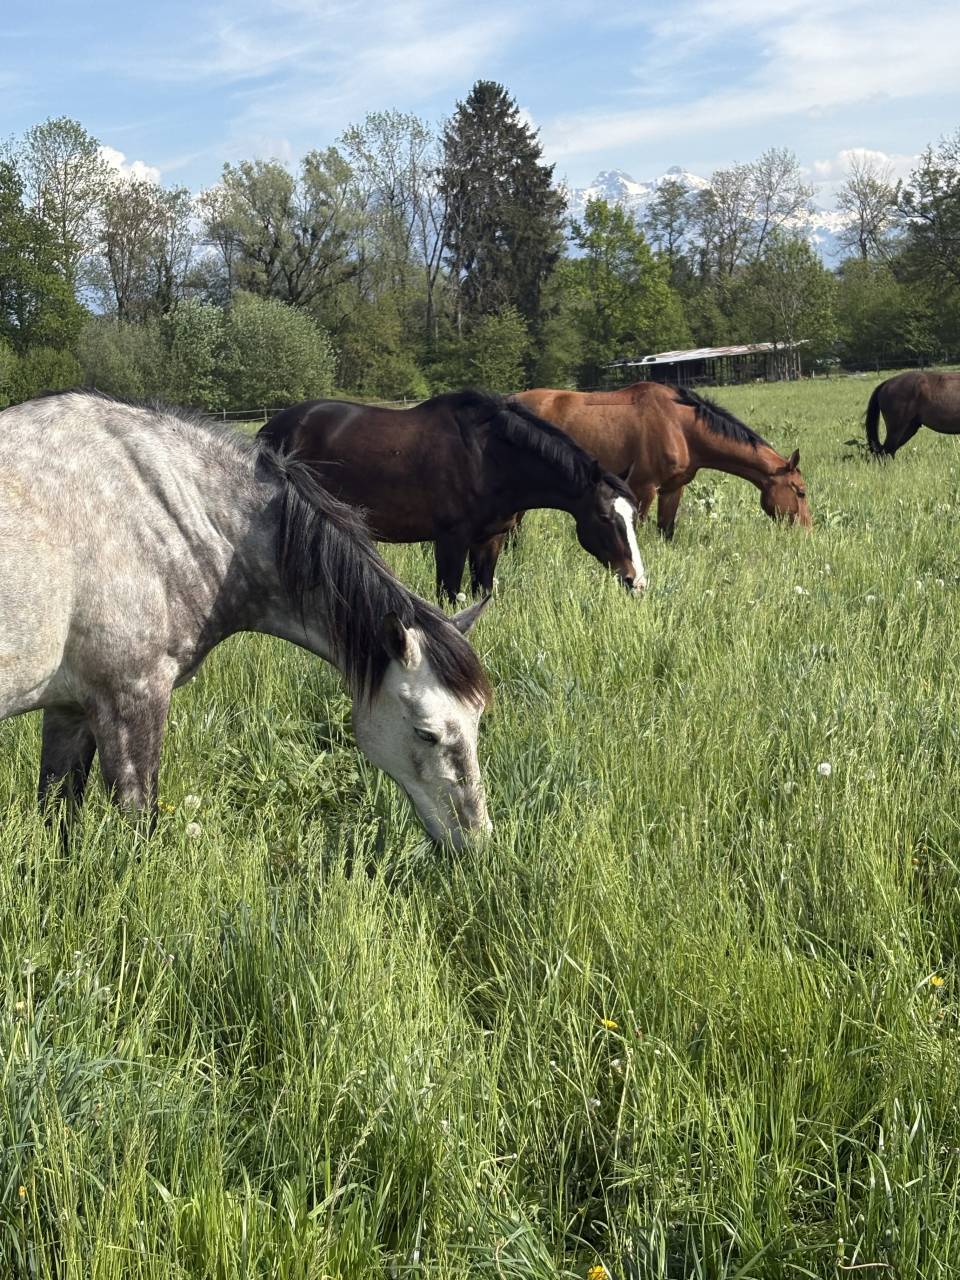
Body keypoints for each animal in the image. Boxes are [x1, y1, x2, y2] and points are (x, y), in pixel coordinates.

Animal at [0, 390, 492, 847]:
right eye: (427, 734)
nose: (475, 841)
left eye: (478, 720)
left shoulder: (69, 708)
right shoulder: (130, 701)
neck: (159, 511)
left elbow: (58, 814)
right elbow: (139, 826)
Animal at [257, 390, 645, 602]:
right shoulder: (450, 541)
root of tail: (268, 430)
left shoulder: (490, 540)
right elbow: (449, 596)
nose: (637, 581)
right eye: (605, 518)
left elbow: (481, 592)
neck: (488, 459)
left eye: (633, 517)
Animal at [511, 383, 811, 537]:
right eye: (801, 492)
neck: (679, 425)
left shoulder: (671, 489)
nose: (807, 532)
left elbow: (666, 530)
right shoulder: (643, 488)